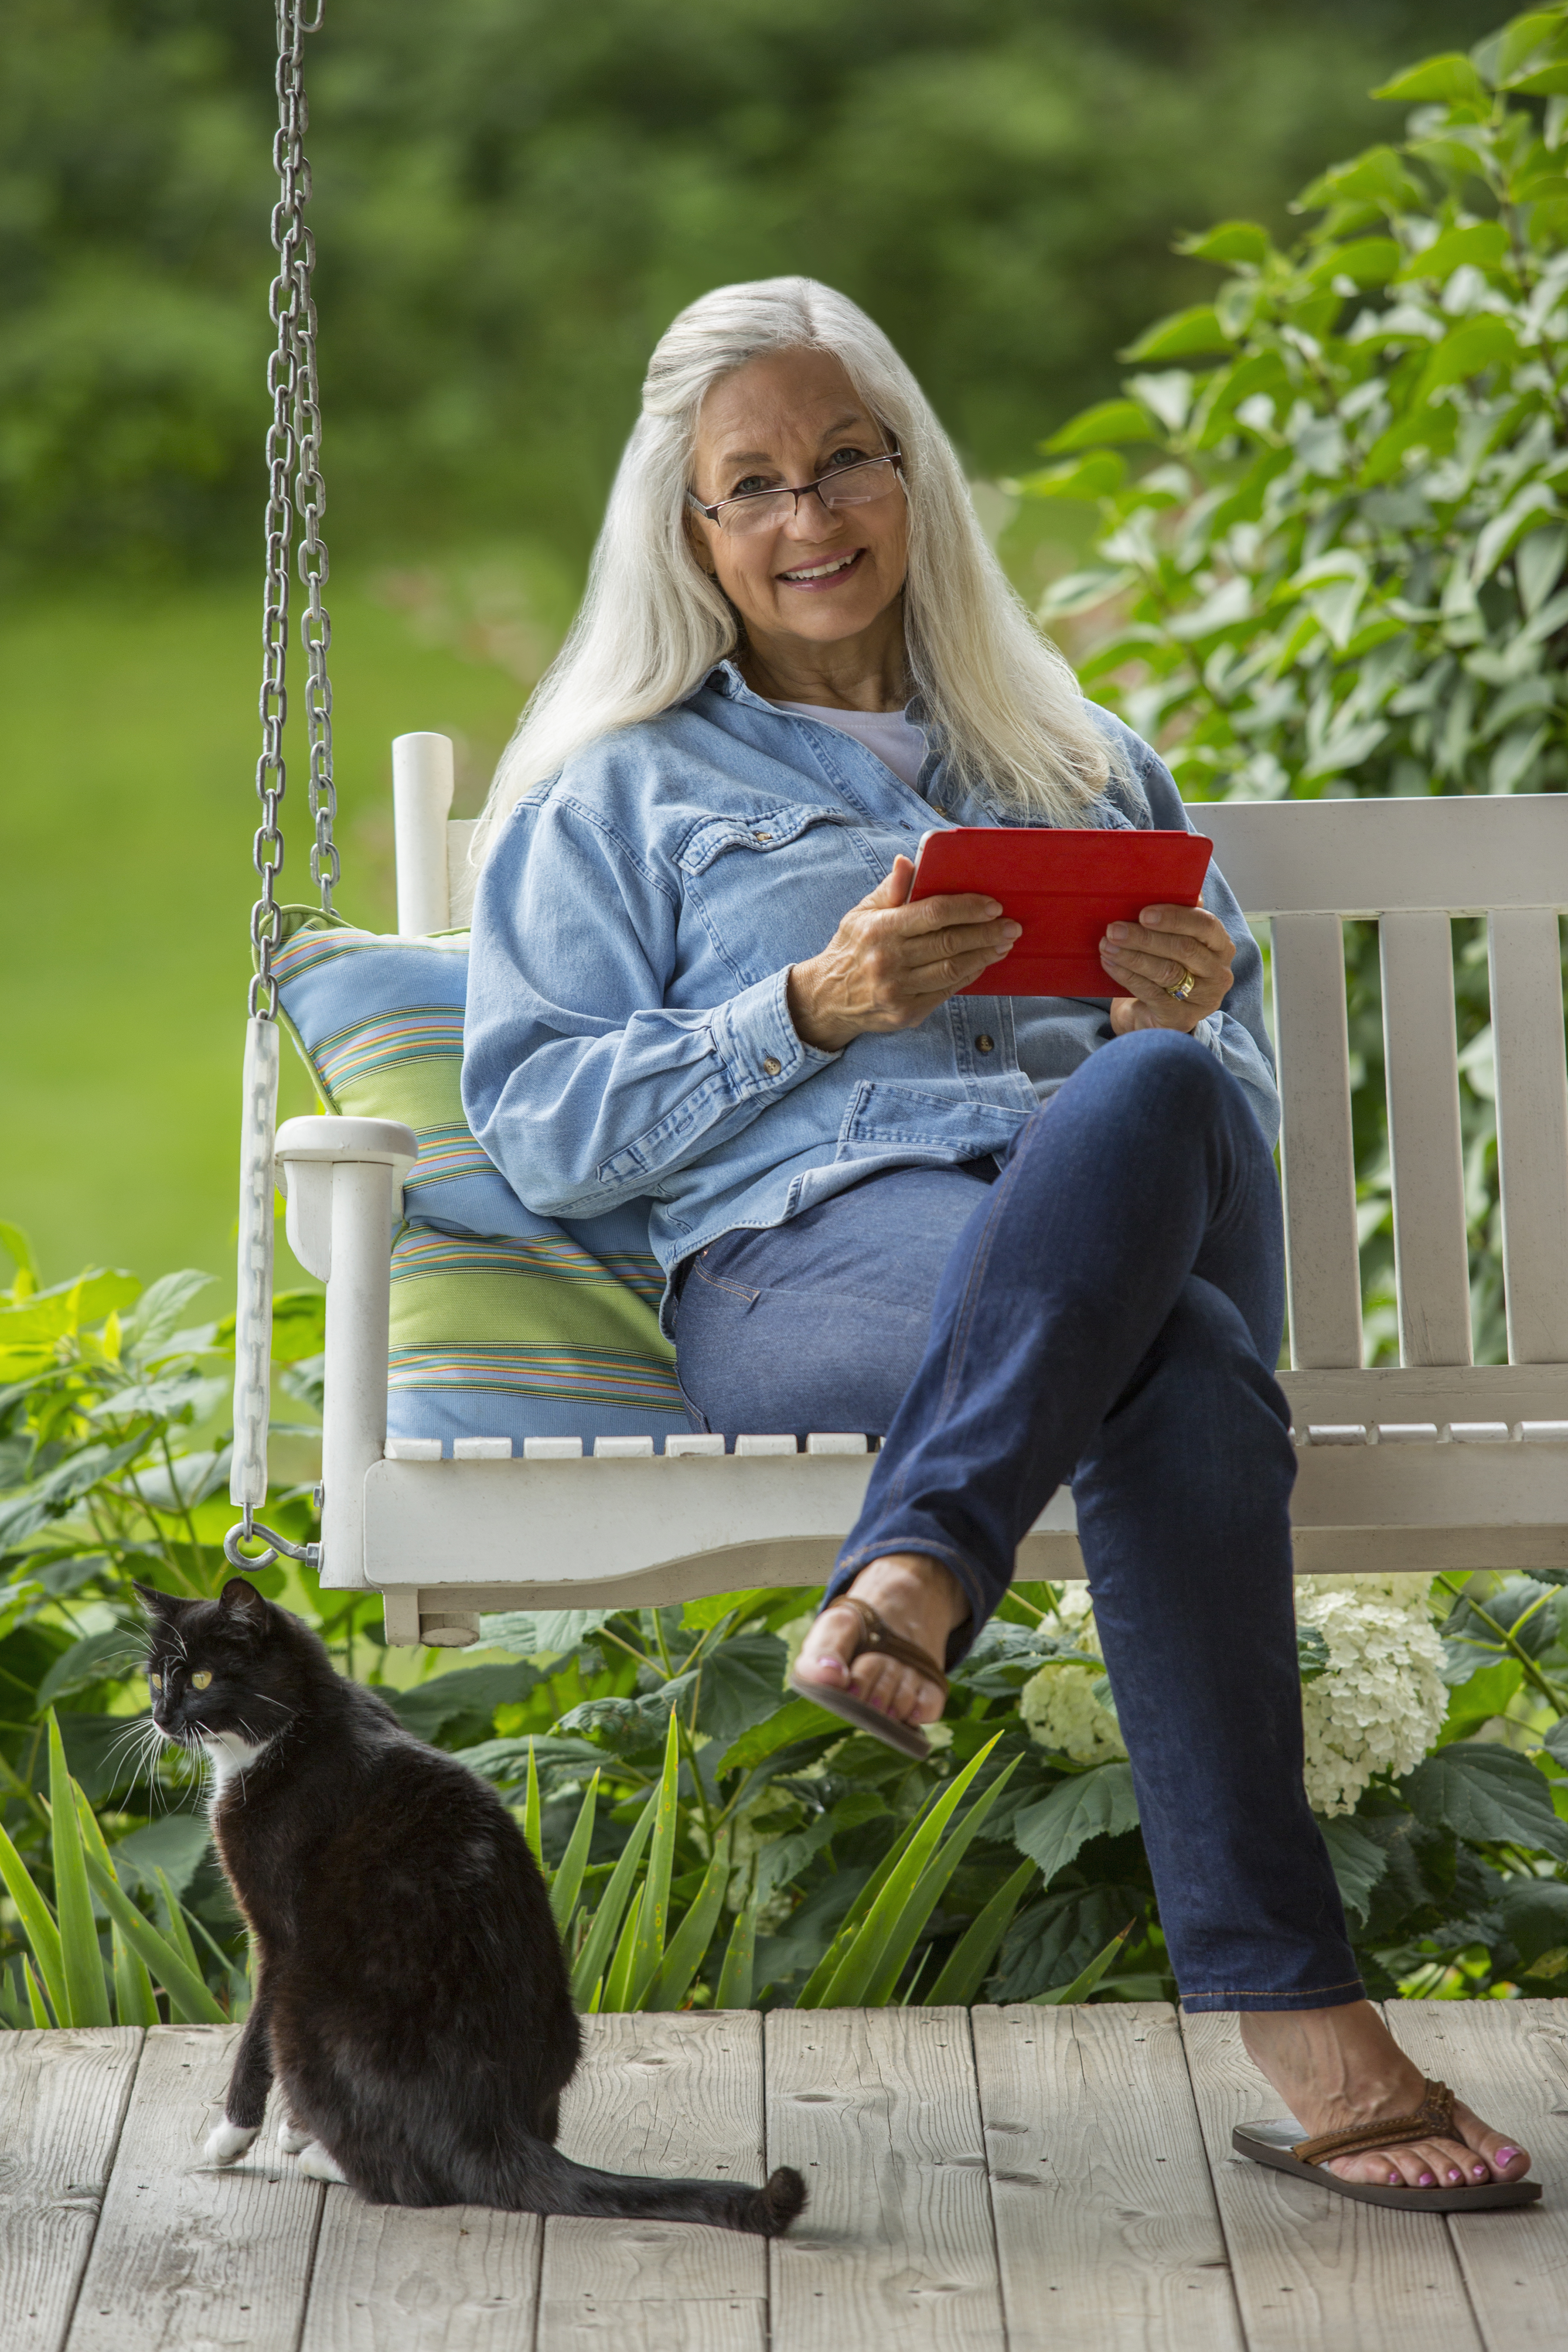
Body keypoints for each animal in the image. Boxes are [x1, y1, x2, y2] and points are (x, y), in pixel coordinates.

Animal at [138, 1571, 809, 2230]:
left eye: (202, 1678)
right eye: (155, 1677)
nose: (161, 1715)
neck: (297, 1727)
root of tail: (490, 2125)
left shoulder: (277, 1934)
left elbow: (252, 2041)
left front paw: (230, 2139)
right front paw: (297, 2131)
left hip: (306, 2007)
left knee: (408, 2180)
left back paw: (330, 2162)